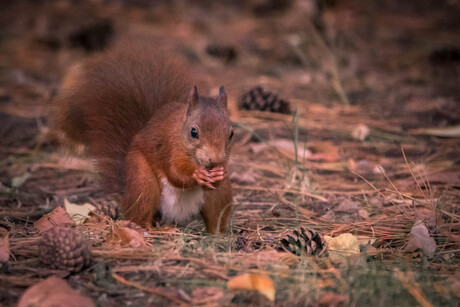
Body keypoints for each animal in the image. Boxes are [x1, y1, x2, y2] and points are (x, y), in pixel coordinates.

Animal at [54, 49, 234, 235]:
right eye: (193, 132)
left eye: (231, 134)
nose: (215, 159)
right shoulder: (168, 146)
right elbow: (175, 173)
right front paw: (196, 174)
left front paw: (219, 173)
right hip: (143, 181)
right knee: (140, 217)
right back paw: (157, 230)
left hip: (221, 195)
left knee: (216, 213)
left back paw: (219, 234)